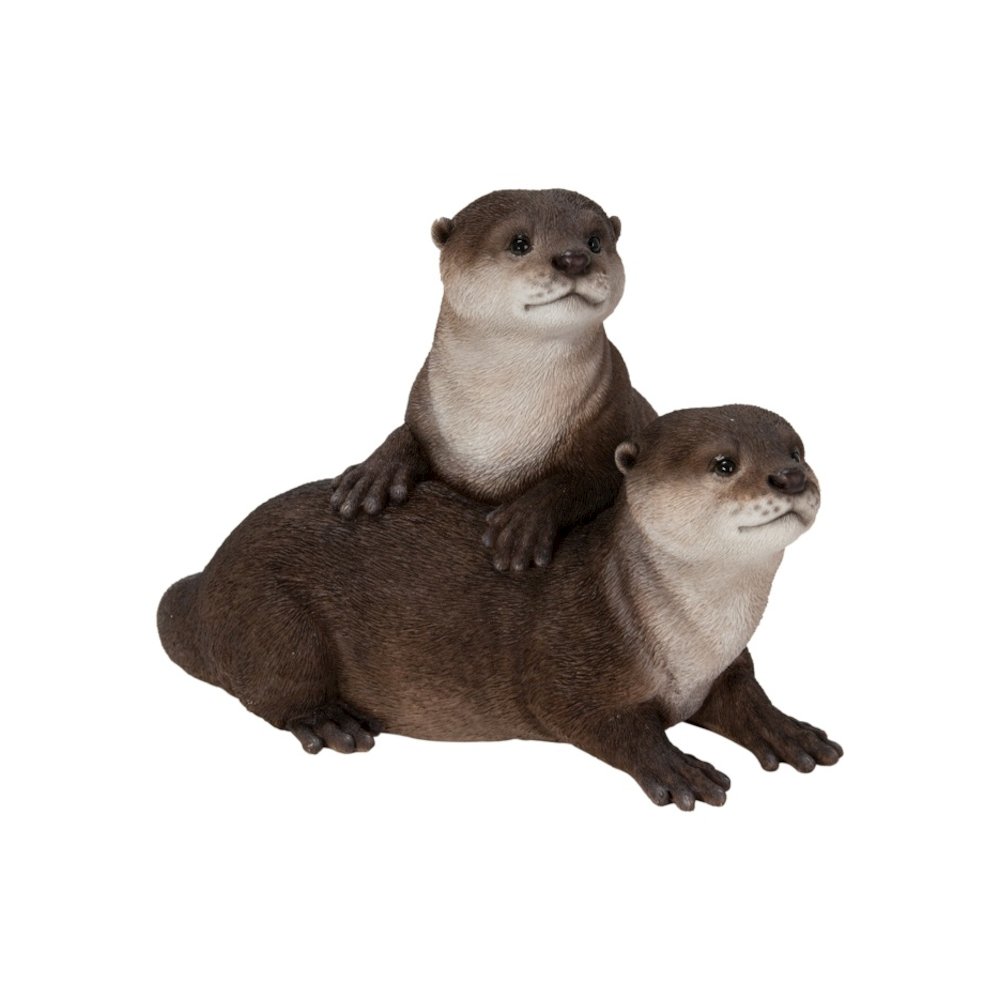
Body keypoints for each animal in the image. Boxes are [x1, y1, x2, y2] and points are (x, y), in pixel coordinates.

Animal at [159, 405, 842, 809]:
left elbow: (743, 697)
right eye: (724, 464)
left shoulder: (717, 667)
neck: (690, 639)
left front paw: (787, 730)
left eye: (797, 450)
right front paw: (677, 768)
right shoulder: (573, 656)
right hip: (273, 619)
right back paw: (331, 723)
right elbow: (601, 720)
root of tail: (209, 578)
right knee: (272, 695)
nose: (790, 478)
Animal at [330, 188, 656, 571]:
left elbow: (584, 478)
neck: (498, 434)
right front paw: (372, 475)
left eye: (594, 242)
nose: (574, 259)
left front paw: (524, 524)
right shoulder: (424, 408)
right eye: (519, 243)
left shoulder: (614, 415)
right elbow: (408, 433)